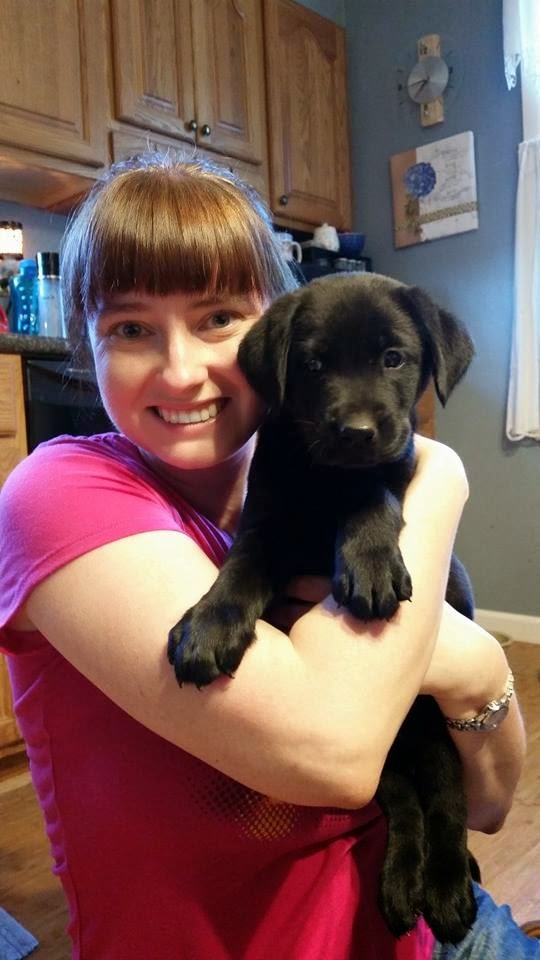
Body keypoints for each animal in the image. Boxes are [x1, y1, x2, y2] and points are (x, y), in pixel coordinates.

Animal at [168, 272, 478, 943]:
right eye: (312, 365)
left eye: (394, 358)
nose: (356, 432)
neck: (322, 478)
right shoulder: (266, 522)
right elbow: (240, 569)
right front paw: (208, 627)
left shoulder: (394, 466)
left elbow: (373, 493)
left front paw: (371, 563)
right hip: (385, 764)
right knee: (406, 805)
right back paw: (401, 885)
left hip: (435, 730)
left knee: (446, 800)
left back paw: (445, 886)